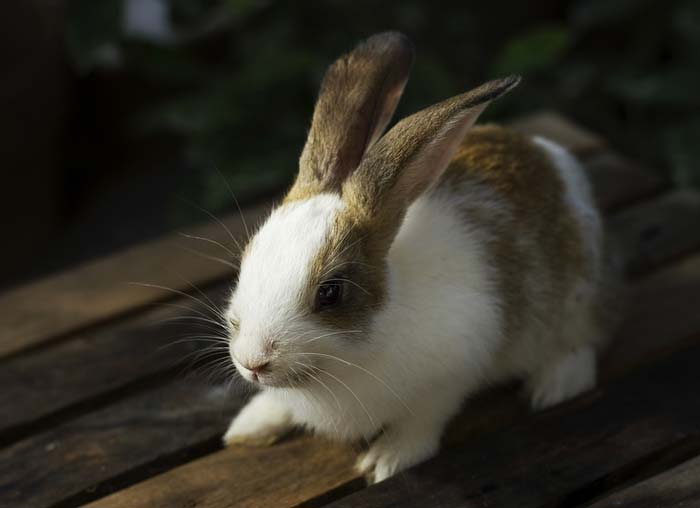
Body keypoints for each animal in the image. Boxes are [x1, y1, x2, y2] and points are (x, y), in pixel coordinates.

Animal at [221, 31, 608, 483]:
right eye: (247, 260)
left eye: (331, 293)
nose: (252, 361)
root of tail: (551, 156)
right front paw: (249, 425)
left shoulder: (451, 371)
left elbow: (423, 421)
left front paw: (387, 460)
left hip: (576, 298)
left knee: (580, 341)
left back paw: (555, 387)